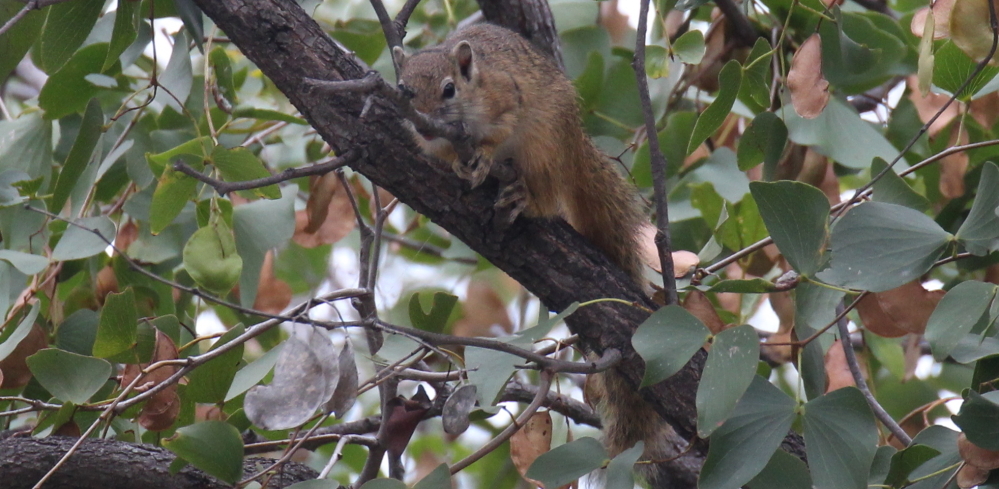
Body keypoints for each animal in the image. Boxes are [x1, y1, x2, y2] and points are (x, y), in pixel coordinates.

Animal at [394, 21, 676, 484]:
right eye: (404, 89)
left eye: (450, 90)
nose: (428, 126)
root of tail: (574, 142)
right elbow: (446, 155)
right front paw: (458, 164)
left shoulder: (507, 98)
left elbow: (499, 131)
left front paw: (483, 155)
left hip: (544, 144)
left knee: (544, 195)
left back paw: (520, 196)